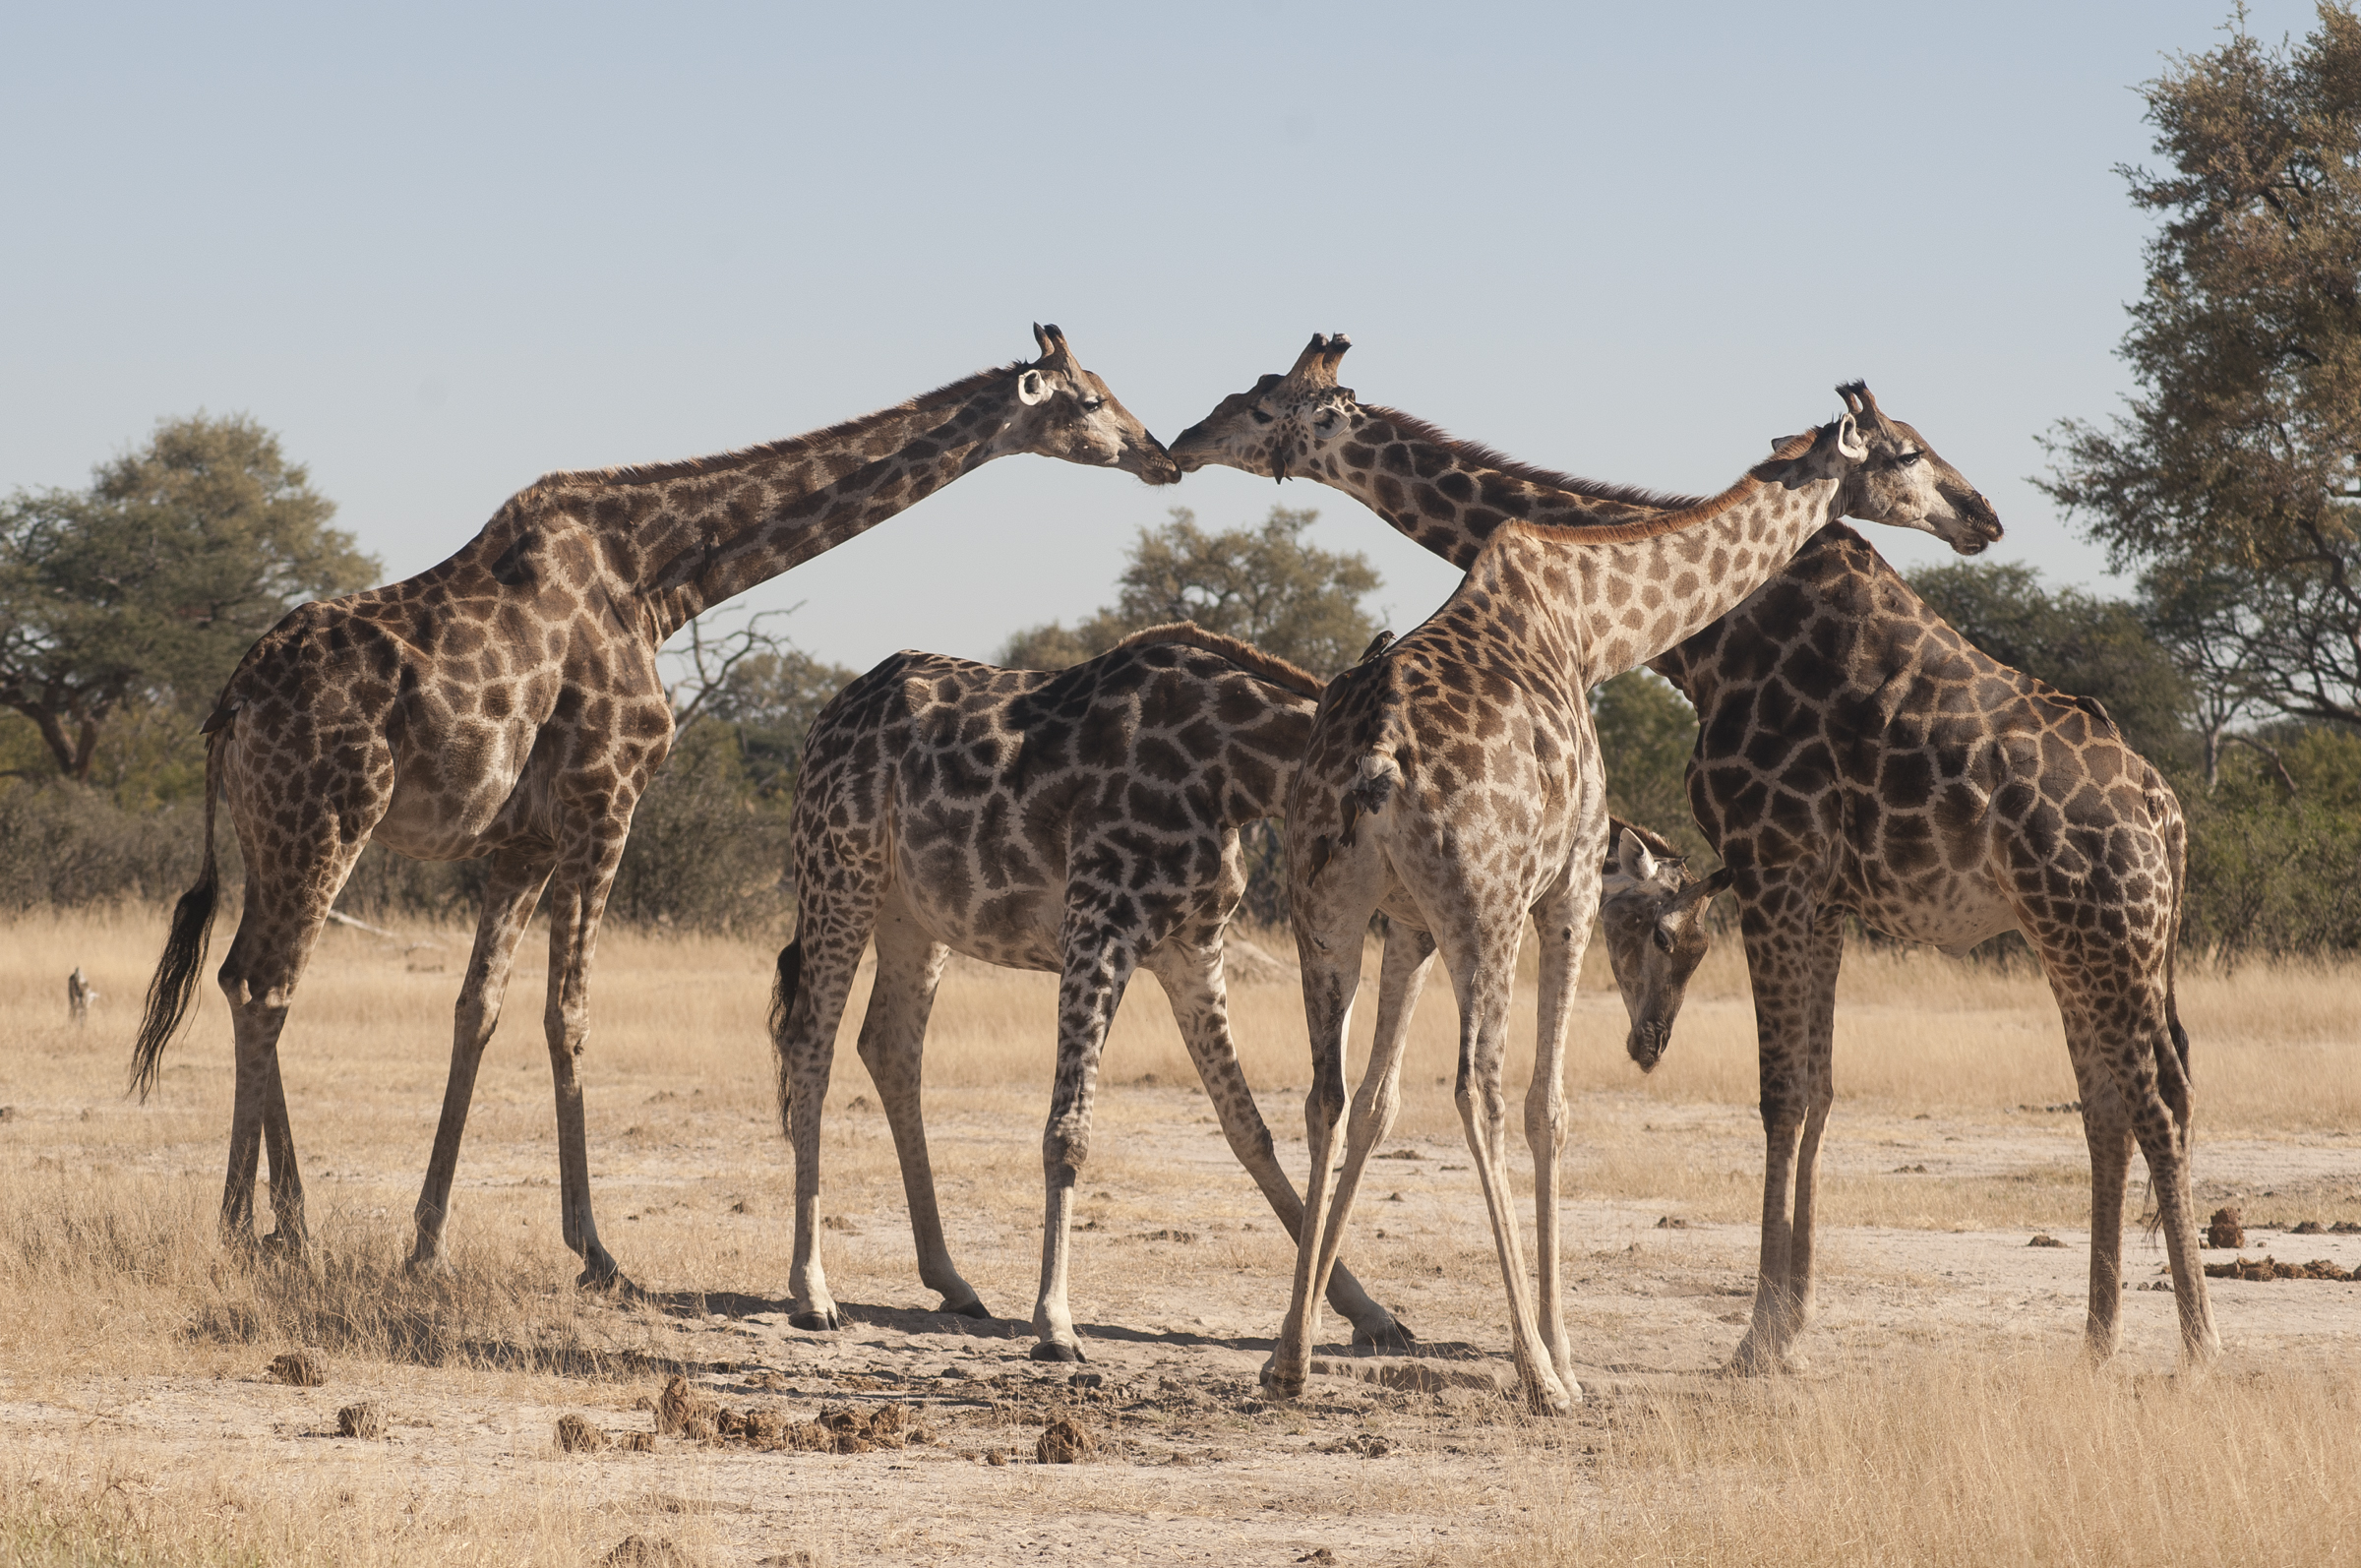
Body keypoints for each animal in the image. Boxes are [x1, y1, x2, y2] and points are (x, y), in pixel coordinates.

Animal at [129, 321, 1180, 1284]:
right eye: (1090, 399)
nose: (1161, 454)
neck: (658, 582)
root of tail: (230, 702)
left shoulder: (523, 841)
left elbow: (479, 1009)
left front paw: (426, 1245)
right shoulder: (607, 799)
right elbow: (569, 1013)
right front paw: (596, 1252)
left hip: (273, 834)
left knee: (239, 976)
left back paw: (266, 1224)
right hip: (327, 821)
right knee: (270, 986)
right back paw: (268, 1230)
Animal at [774, 623, 1719, 1359]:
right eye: (1667, 935)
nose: (1651, 1042)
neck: (1240, 769)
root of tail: (824, 716)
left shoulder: (1192, 950)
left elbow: (1250, 1129)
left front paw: (1370, 1313)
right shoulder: (1097, 929)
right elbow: (1070, 1128)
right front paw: (1055, 1322)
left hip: (914, 916)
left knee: (886, 1046)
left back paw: (953, 1281)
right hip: (839, 876)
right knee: (812, 1048)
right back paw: (813, 1293)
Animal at [1171, 332, 2219, 1369]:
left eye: (1263, 405)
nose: (1984, 515)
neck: (1700, 644)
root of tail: (2166, 816)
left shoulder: (1774, 867)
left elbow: (1784, 1095)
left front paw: (1760, 1336)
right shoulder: (1801, 886)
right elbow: (1811, 1093)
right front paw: (1782, 1327)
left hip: (2101, 934)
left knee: (2155, 1100)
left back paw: (2193, 1343)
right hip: (2078, 939)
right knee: (2112, 1100)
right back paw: (2106, 1339)